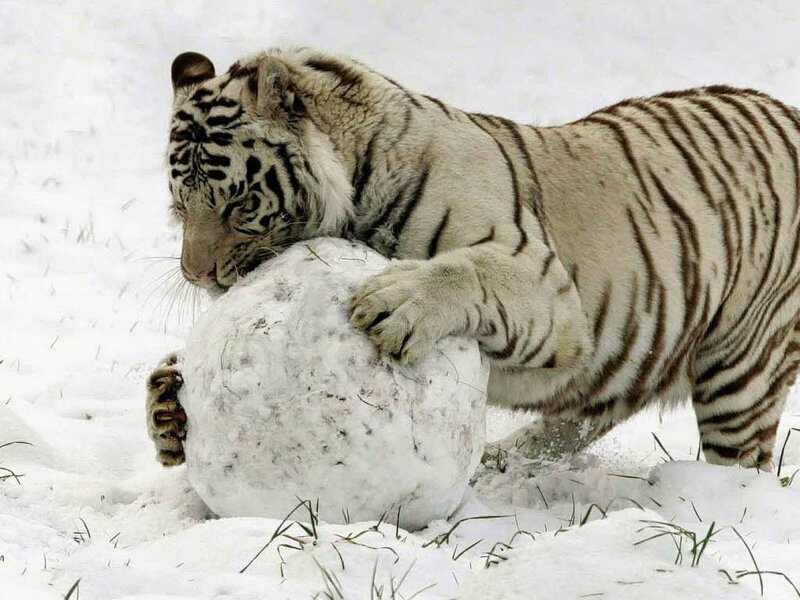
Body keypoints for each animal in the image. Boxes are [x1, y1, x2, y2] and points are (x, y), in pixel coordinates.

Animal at [147, 47, 800, 474]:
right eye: (180, 206)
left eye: (238, 204)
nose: (196, 274)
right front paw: (167, 402)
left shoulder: (543, 282)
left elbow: (465, 268)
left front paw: (397, 303)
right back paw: (504, 463)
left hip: (742, 367)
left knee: (744, 460)